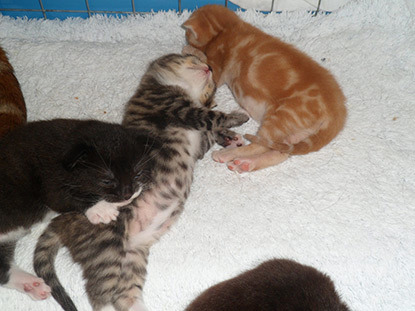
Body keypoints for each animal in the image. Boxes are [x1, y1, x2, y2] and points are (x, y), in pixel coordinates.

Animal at [0, 118, 155, 302]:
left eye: (137, 174)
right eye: (107, 181)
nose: (127, 193)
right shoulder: (49, 182)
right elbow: (67, 198)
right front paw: (101, 208)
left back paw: (31, 284)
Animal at [34, 54, 249, 311]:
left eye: (211, 86)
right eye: (192, 58)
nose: (208, 68)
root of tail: (62, 219)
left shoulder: (197, 143)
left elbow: (209, 133)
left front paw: (229, 137)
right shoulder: (174, 107)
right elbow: (212, 117)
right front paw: (239, 115)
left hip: (131, 258)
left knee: (124, 295)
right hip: (106, 248)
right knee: (98, 293)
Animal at [184, 4, 350, 173]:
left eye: (187, 33)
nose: (185, 37)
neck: (232, 27)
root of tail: (338, 111)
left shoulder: (215, 70)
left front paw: (188, 51)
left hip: (281, 117)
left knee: (259, 144)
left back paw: (227, 154)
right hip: (297, 134)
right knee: (280, 152)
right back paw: (246, 163)